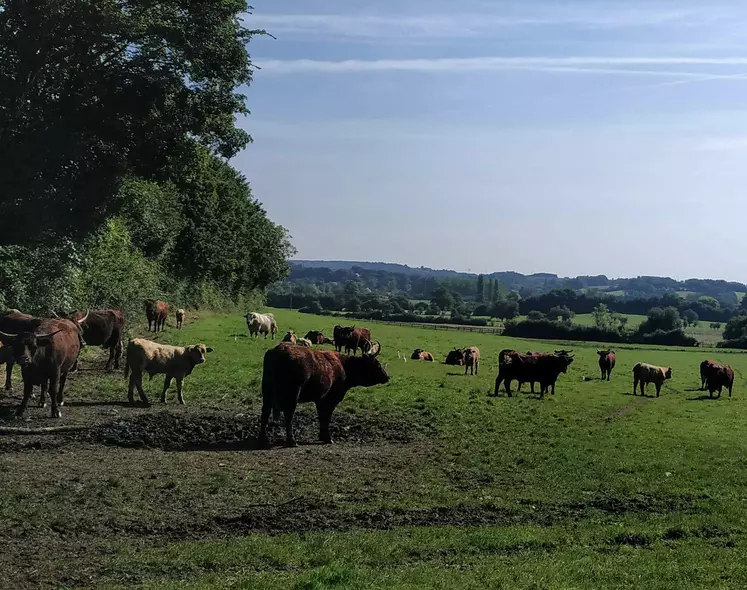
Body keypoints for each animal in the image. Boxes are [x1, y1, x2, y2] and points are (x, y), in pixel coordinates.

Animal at [260, 342, 388, 448]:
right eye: (377, 364)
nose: (387, 377)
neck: (344, 366)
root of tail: (280, 349)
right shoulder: (331, 399)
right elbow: (327, 417)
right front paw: (327, 438)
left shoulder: (320, 400)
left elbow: (322, 417)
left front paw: (322, 436)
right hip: (293, 394)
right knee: (289, 416)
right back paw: (292, 441)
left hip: (267, 392)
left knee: (265, 413)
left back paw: (263, 439)